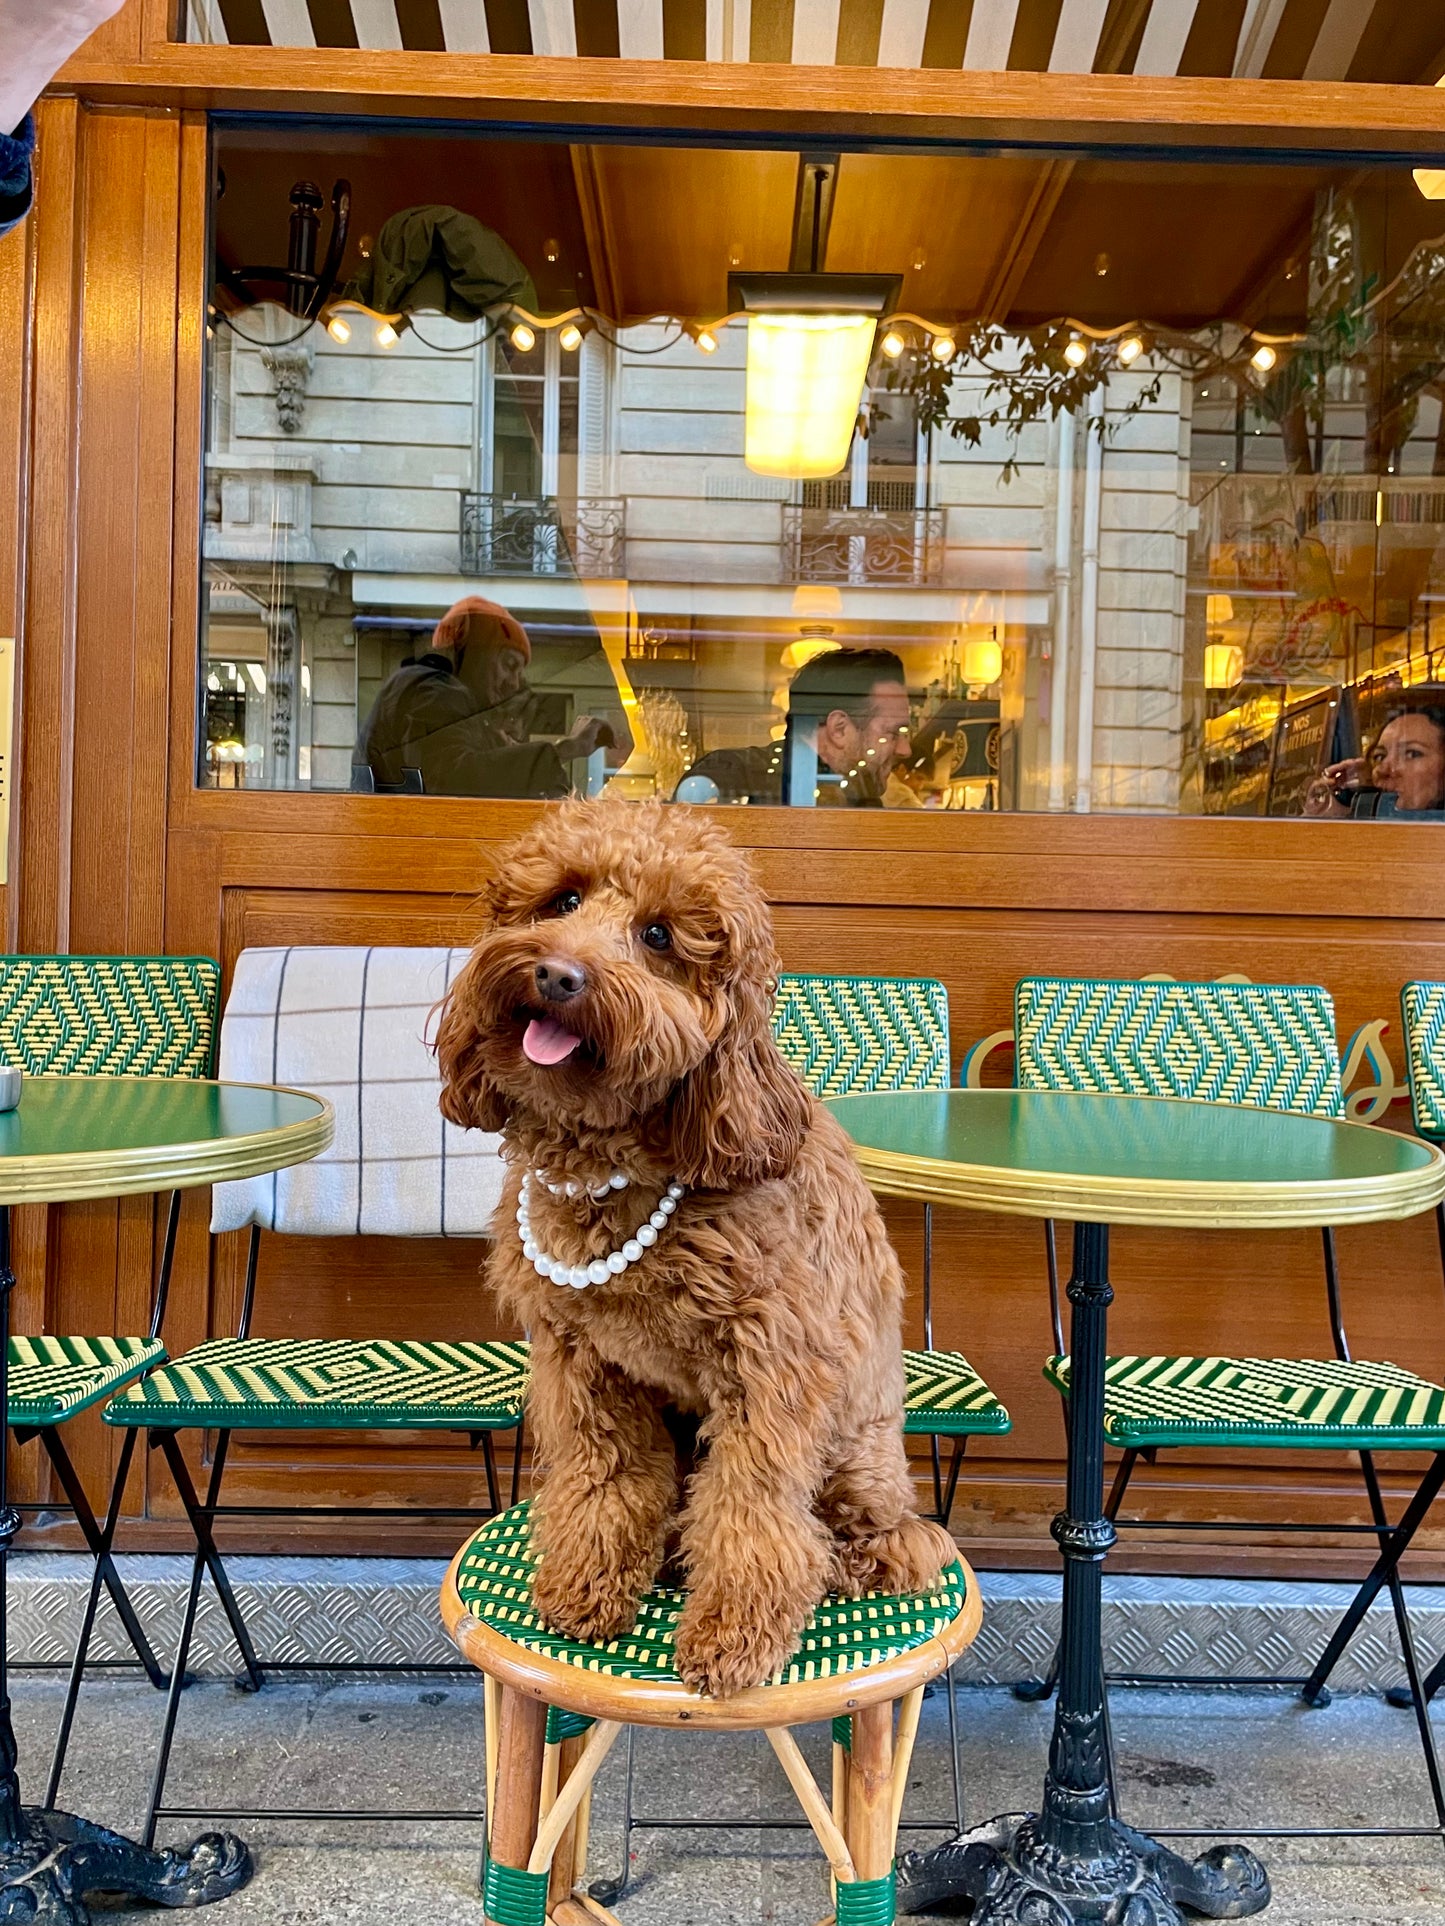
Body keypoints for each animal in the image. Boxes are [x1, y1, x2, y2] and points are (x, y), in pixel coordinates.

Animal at [441, 797, 963, 1702]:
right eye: (562, 901)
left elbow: (750, 1510)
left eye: (657, 935)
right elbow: (605, 1479)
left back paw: (837, 1564)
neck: (617, 1170)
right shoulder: (582, 1361)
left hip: (855, 1457)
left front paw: (733, 1637)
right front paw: (586, 1587)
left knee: (880, 1543)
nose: (557, 976)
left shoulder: (771, 1370)